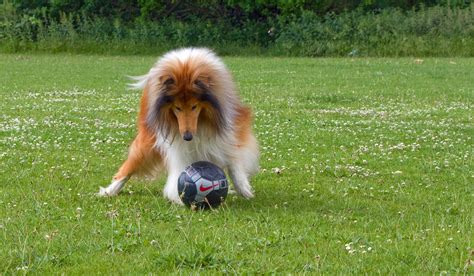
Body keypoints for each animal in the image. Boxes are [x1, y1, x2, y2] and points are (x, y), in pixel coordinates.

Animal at [97, 47, 260, 204]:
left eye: (194, 106)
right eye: (177, 107)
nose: (187, 137)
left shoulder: (230, 128)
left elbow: (232, 157)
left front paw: (243, 188)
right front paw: (178, 195)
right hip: (149, 137)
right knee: (130, 165)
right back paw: (110, 190)